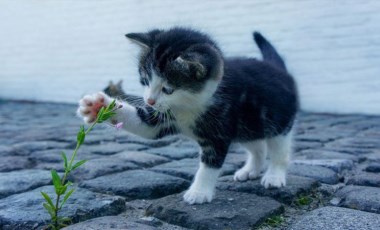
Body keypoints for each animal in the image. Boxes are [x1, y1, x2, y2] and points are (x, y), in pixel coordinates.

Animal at [76, 27, 296, 205]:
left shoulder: (219, 129)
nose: (149, 101)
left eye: (168, 89)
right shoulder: (163, 117)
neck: (189, 105)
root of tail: (279, 69)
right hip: (248, 126)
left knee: (279, 150)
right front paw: (99, 106)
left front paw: (199, 192)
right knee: (257, 146)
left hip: (278, 121)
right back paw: (250, 170)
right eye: (145, 80)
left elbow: (210, 163)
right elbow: (145, 125)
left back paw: (274, 176)